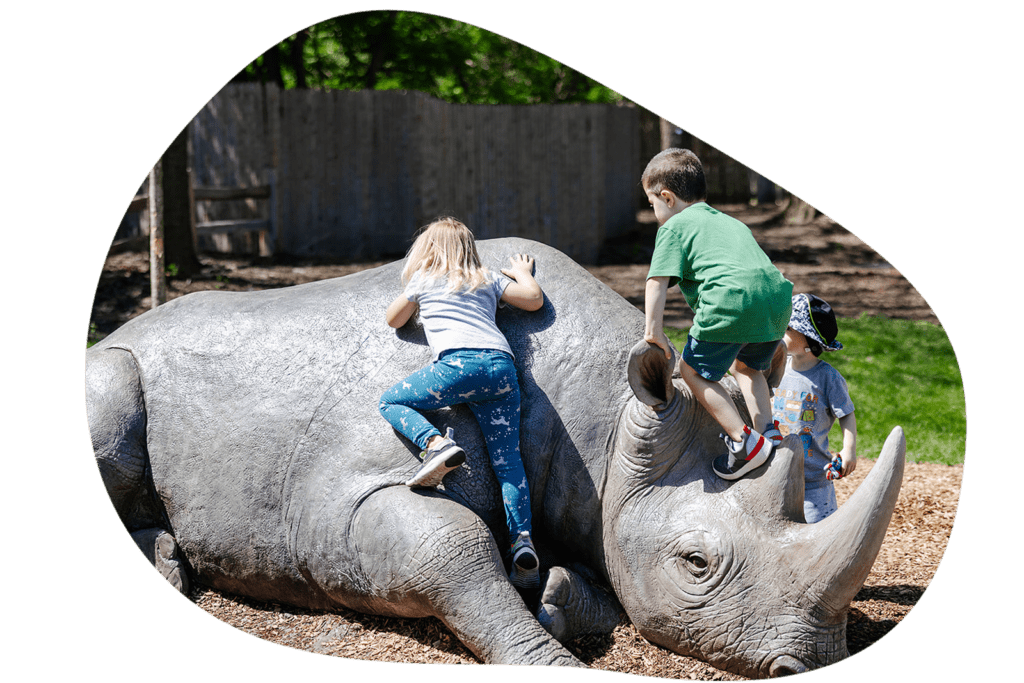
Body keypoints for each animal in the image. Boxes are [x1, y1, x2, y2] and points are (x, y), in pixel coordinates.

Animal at [86, 237, 905, 678]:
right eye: (695, 563)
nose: (814, 663)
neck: (609, 423)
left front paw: (554, 595)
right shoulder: (335, 504)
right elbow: (447, 547)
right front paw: (553, 658)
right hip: (116, 363)